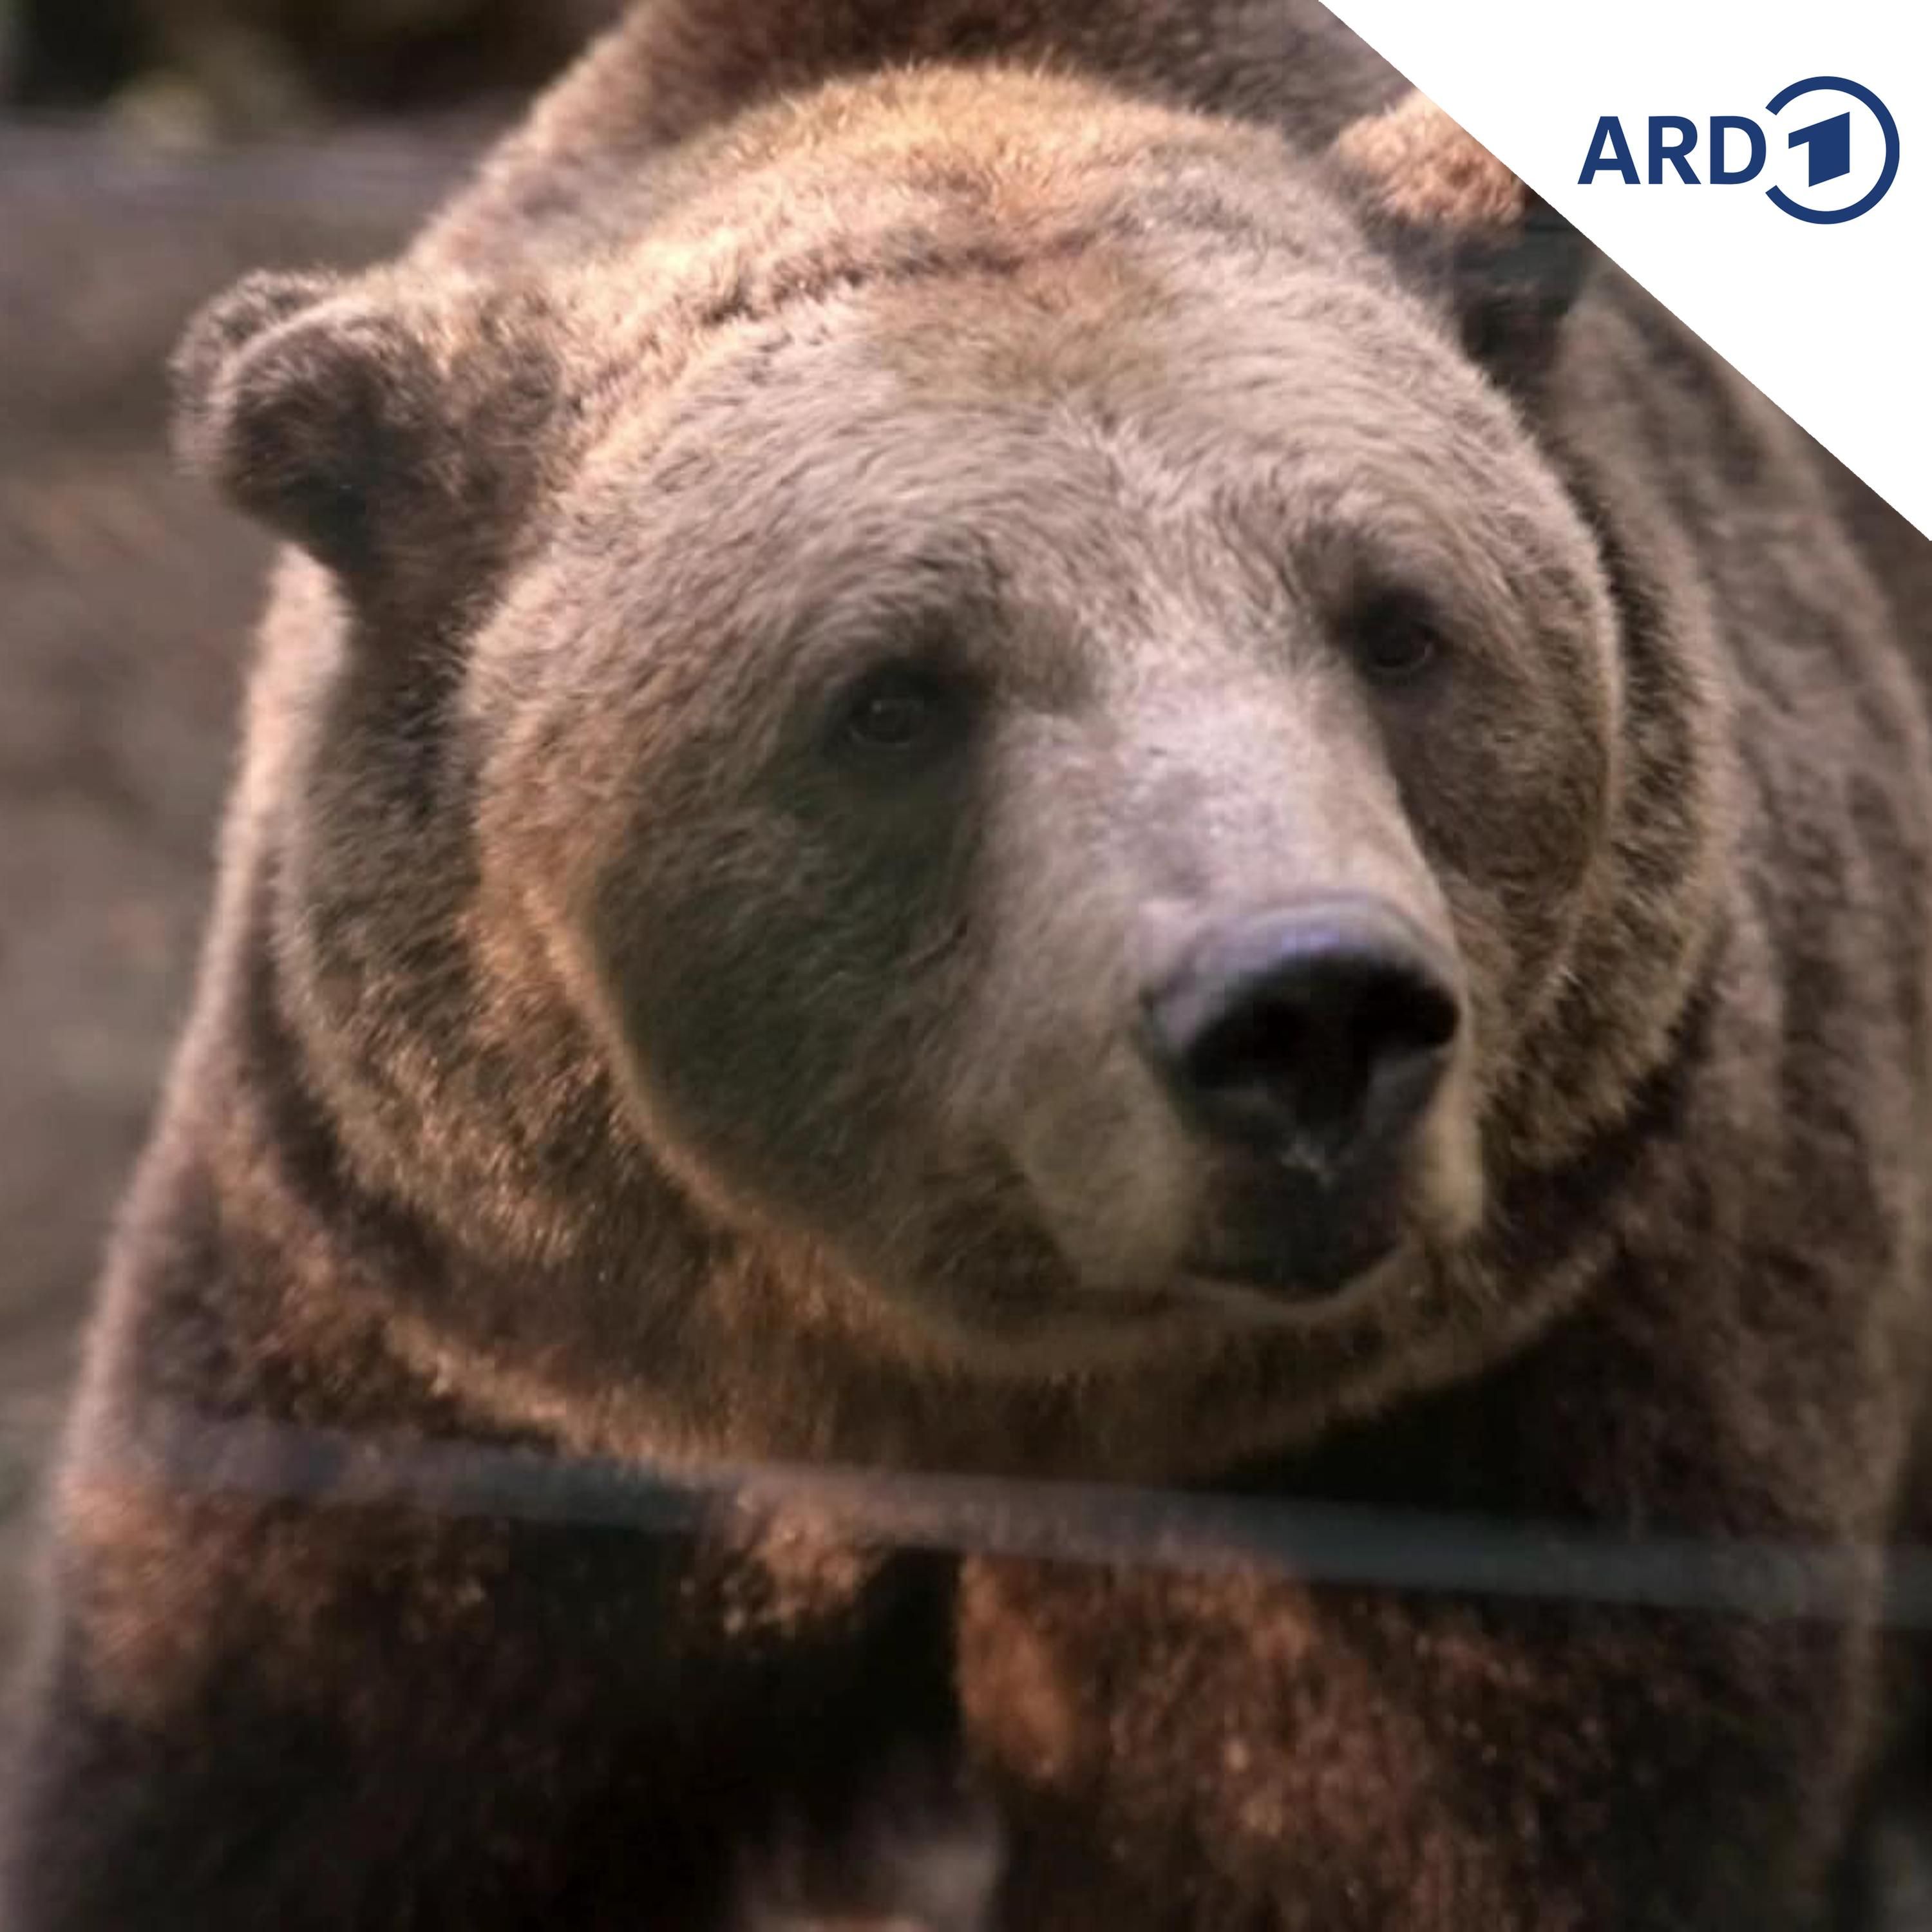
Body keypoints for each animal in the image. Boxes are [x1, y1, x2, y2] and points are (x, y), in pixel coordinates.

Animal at [6, 1, 1932, 1927]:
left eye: (1397, 625)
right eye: (894, 696)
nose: (1307, 1014)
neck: (948, 1398)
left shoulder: (1493, 1416)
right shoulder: (457, 1371)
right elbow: (272, 1772)